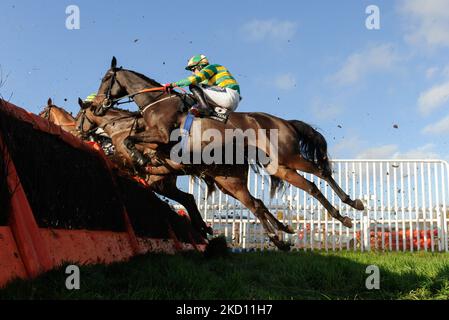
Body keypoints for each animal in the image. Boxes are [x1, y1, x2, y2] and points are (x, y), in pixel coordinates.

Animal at [91, 57, 364, 250]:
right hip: (277, 167)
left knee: (320, 173)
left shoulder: (162, 136)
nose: (98, 106)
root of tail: (285, 121)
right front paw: (136, 157)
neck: (157, 103)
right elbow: (133, 142)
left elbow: (130, 140)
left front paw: (138, 157)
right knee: (306, 188)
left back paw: (350, 206)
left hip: (287, 157)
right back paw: (335, 218)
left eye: (106, 78)